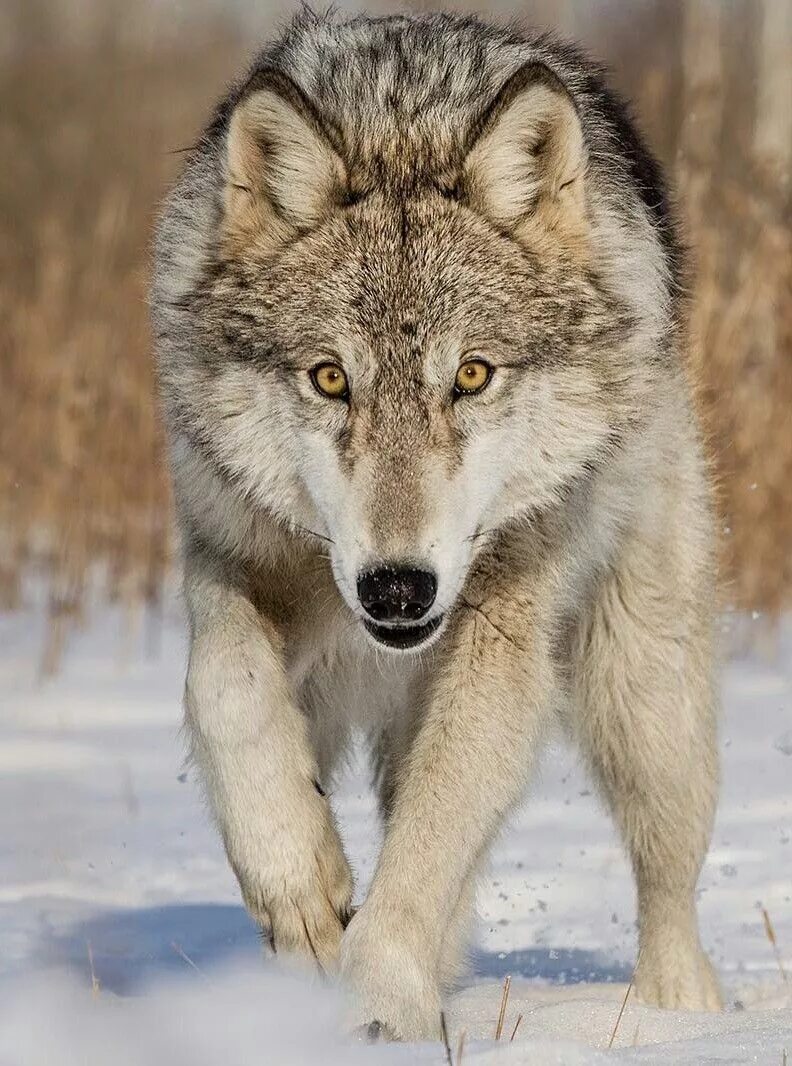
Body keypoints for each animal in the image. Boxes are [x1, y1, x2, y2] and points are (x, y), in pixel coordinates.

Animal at [150, 8, 724, 1040]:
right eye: (330, 378)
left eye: (472, 375)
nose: (397, 588)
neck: (400, 125)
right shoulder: (226, 554)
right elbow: (225, 689)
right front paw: (300, 887)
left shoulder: (501, 636)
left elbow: (431, 843)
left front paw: (377, 1004)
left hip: (645, 700)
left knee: (667, 880)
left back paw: (680, 1019)